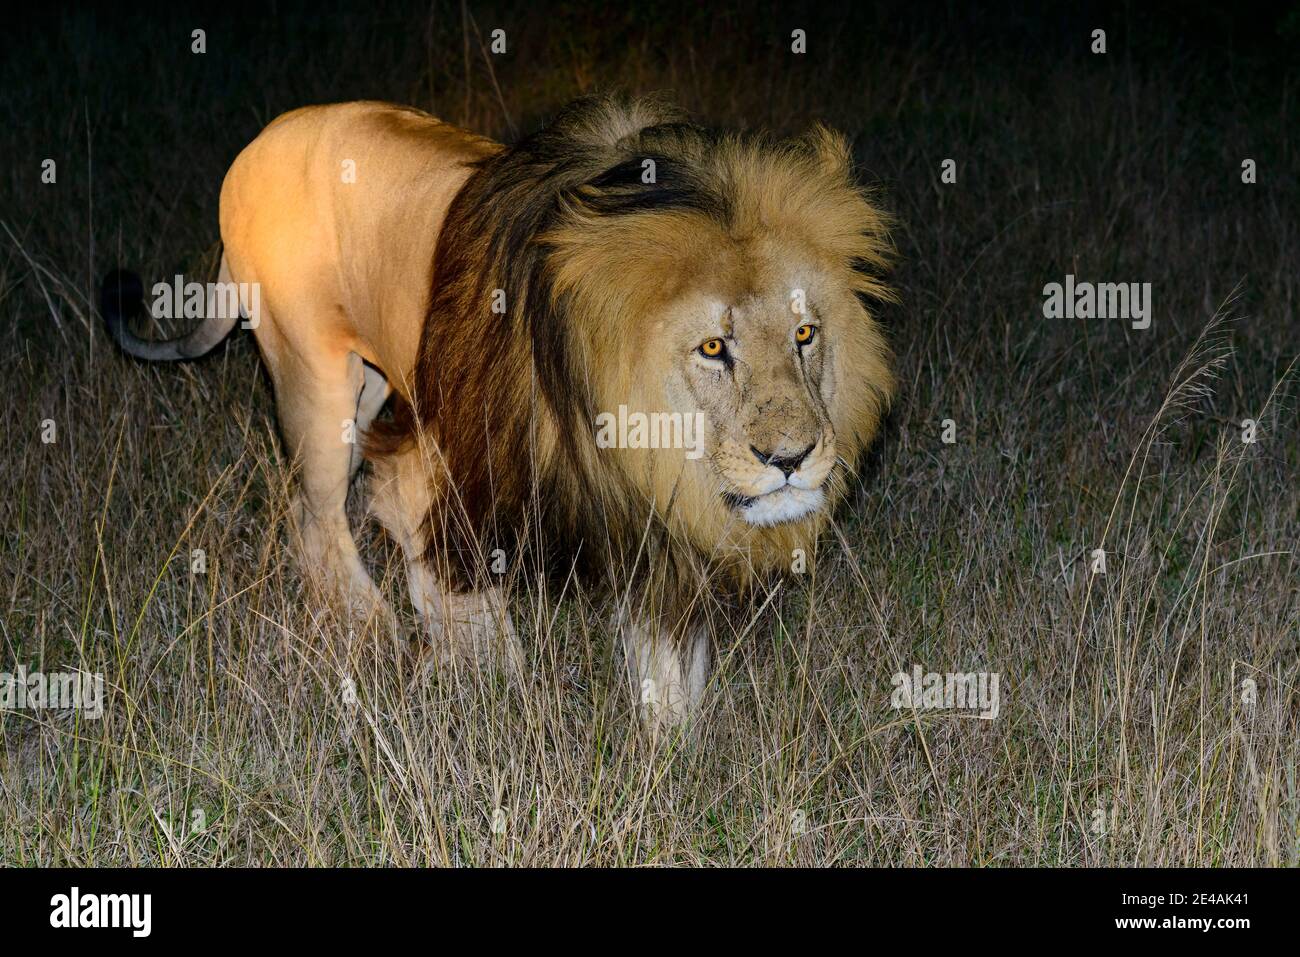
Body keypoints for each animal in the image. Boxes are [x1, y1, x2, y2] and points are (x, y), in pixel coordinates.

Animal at [101, 93, 899, 728]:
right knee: (317, 510)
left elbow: (666, 657)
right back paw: (369, 628)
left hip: (375, 382)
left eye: (805, 334)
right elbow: (440, 561)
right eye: (712, 347)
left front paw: (675, 757)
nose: (791, 460)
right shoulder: (447, 456)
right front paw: (489, 673)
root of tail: (256, 145)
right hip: (316, 382)